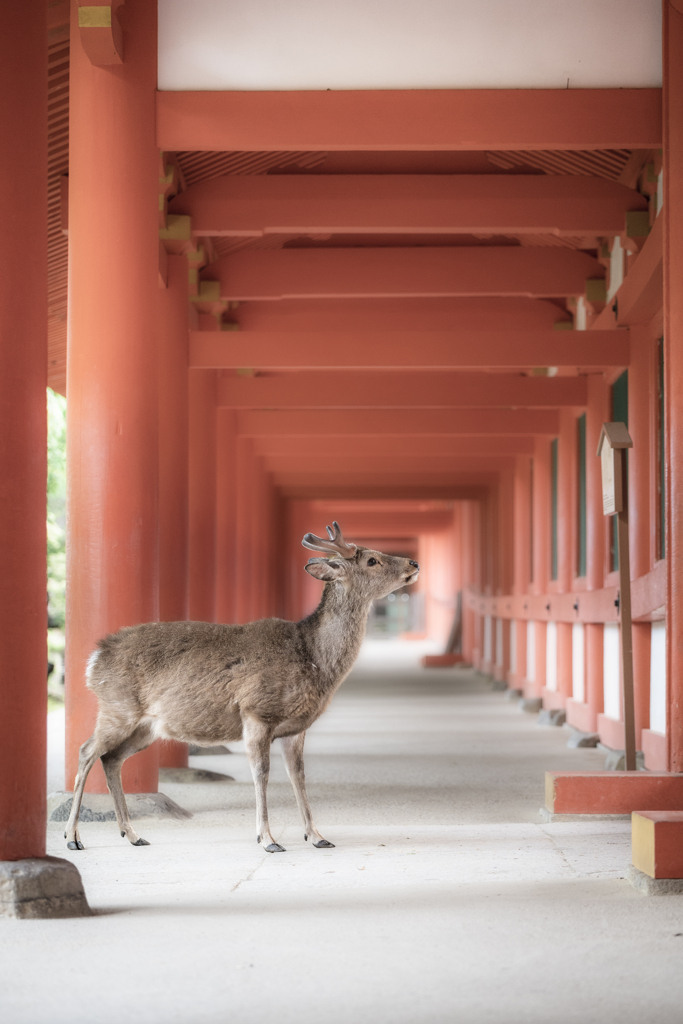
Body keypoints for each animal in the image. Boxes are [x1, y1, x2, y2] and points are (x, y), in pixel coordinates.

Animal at [65, 524, 417, 851]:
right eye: (372, 560)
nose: (413, 563)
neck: (314, 658)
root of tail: (94, 661)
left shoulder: (295, 727)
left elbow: (298, 776)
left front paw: (317, 836)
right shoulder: (256, 712)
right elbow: (261, 773)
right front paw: (268, 839)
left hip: (146, 727)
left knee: (111, 759)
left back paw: (133, 834)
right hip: (117, 708)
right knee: (87, 751)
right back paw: (73, 837)